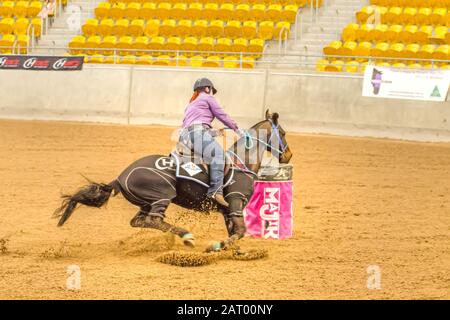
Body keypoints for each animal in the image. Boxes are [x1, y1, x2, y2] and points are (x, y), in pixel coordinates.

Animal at [54, 110, 294, 252]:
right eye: (282, 132)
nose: (289, 155)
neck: (240, 162)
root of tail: (119, 178)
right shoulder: (235, 202)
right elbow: (241, 231)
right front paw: (216, 246)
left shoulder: (229, 210)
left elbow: (235, 232)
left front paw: (235, 252)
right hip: (162, 195)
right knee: (154, 220)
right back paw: (186, 235)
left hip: (146, 202)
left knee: (139, 221)